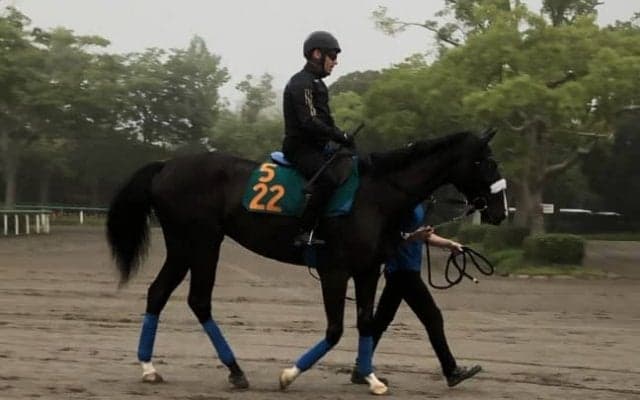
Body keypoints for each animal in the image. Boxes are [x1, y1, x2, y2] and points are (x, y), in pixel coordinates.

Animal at [106, 129, 507, 395]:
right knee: (198, 300)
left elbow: (366, 322)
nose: (500, 212)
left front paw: (371, 377)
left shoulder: (368, 270)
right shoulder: (335, 271)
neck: (375, 195)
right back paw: (234, 370)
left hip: (183, 247)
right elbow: (335, 330)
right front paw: (289, 374)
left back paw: (150, 368)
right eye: (485, 161)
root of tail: (166, 166)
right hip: (202, 244)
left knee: (158, 293)